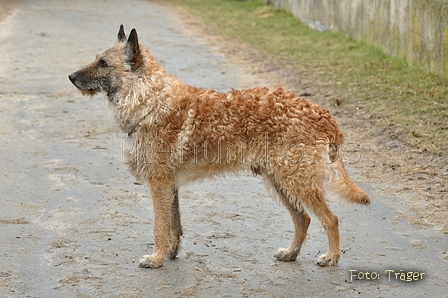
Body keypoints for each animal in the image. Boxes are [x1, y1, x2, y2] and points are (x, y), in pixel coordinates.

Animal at [68, 24, 370, 268]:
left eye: (103, 63)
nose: (71, 76)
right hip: (281, 181)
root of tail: (322, 113)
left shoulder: (160, 183)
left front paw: (156, 259)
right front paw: (170, 253)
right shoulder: (170, 185)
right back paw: (291, 253)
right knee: (303, 219)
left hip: (297, 182)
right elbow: (174, 226)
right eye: (97, 59)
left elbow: (159, 227)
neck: (148, 99)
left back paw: (332, 257)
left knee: (330, 219)